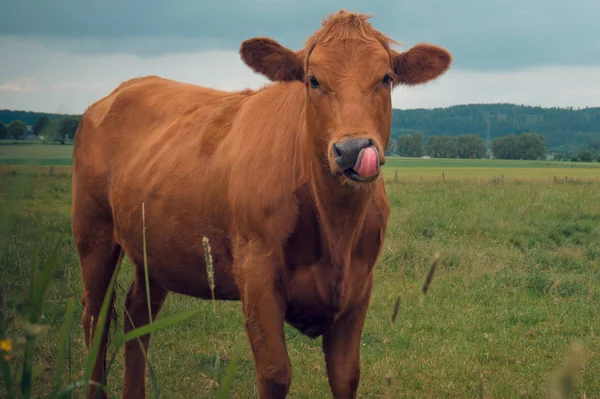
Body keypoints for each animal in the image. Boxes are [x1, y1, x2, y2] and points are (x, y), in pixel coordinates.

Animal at [71, 9, 450, 399]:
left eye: (386, 78)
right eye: (313, 80)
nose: (353, 149)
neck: (337, 229)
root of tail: (123, 88)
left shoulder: (359, 284)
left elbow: (346, 374)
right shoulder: (257, 274)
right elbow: (275, 373)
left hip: (154, 251)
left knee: (136, 318)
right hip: (93, 232)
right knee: (95, 320)